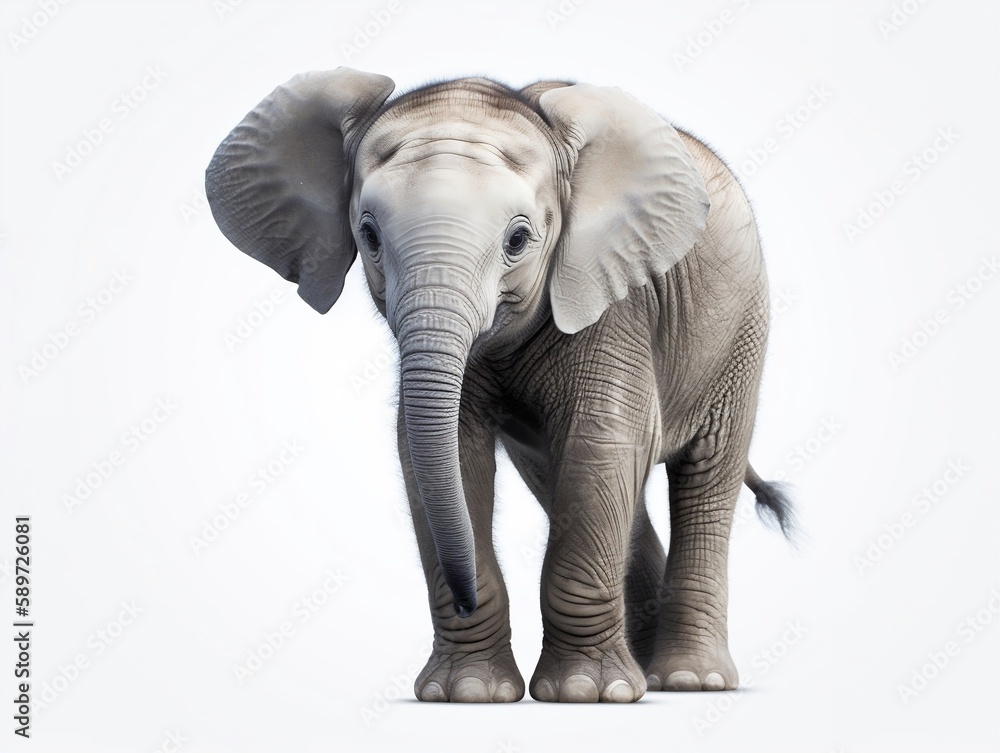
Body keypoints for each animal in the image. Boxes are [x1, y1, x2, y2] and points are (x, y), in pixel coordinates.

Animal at [206, 67, 793, 703]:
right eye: (368, 235)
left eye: (518, 240)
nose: (465, 599)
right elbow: (449, 456)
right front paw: (467, 692)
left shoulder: (613, 303)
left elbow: (601, 443)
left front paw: (583, 693)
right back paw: (644, 671)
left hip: (741, 330)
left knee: (704, 474)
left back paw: (688, 680)